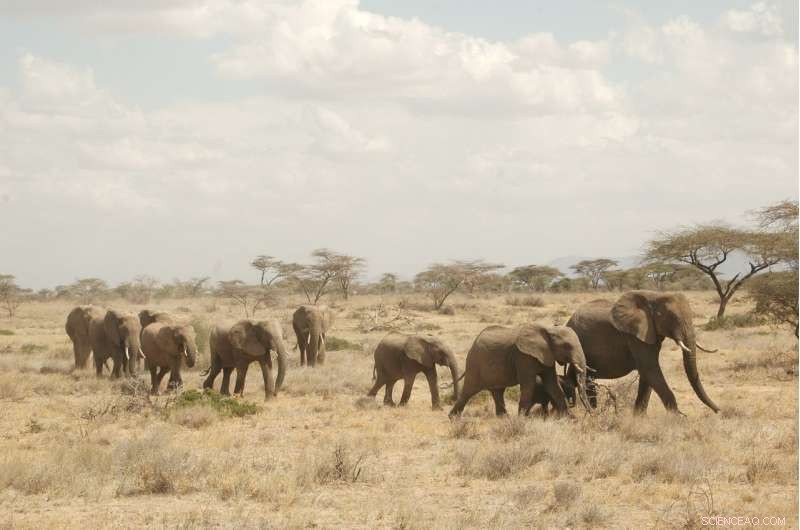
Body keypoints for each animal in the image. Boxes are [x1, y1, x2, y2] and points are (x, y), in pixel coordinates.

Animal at [448, 324, 591, 418]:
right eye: (567, 346)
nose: (590, 414)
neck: (547, 329)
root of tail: (473, 344)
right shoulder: (523, 357)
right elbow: (528, 386)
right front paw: (521, 419)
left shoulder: (547, 355)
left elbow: (553, 385)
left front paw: (571, 419)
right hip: (475, 364)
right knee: (469, 391)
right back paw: (453, 418)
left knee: (497, 392)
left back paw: (504, 419)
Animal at [566, 290, 719, 415]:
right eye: (672, 317)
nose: (718, 410)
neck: (654, 296)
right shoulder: (635, 336)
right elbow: (650, 368)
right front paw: (677, 420)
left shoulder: (650, 334)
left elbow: (647, 375)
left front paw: (639, 418)